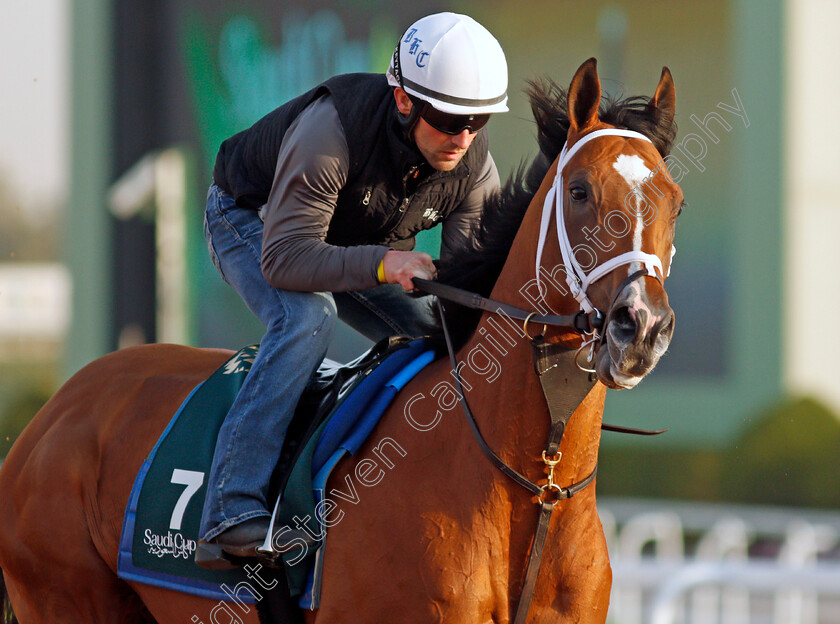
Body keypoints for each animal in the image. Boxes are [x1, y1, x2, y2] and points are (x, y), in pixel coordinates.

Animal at [0, 56, 680, 620]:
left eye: (675, 201)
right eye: (580, 190)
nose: (641, 326)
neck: (535, 488)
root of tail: (55, 411)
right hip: (65, 593)